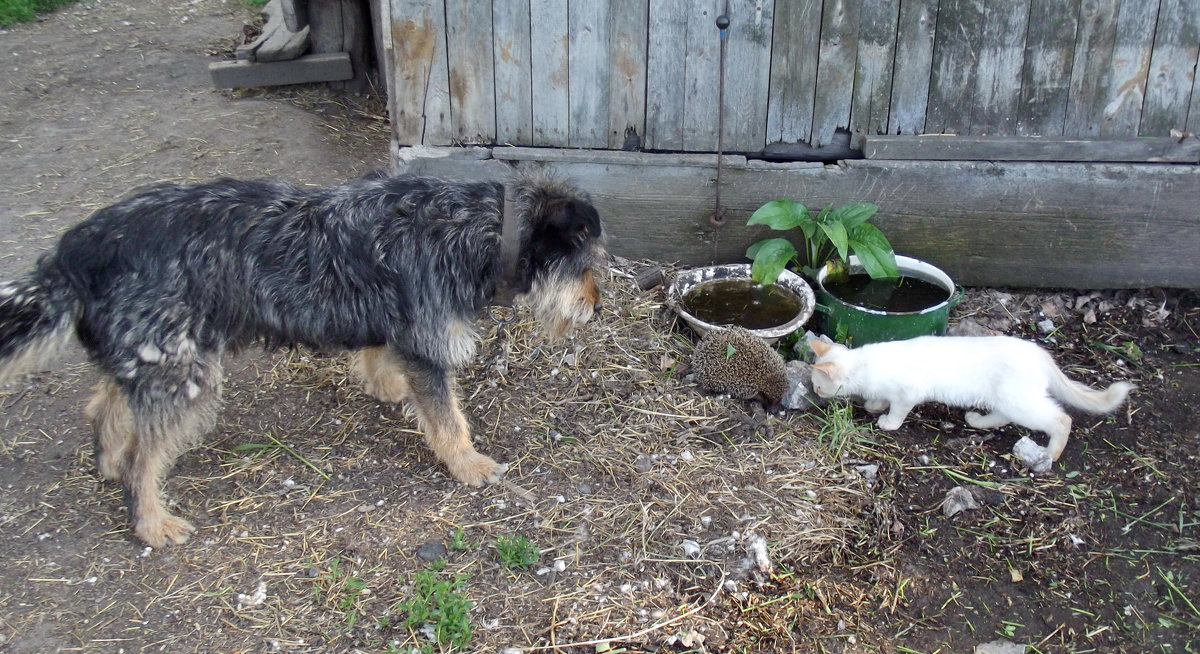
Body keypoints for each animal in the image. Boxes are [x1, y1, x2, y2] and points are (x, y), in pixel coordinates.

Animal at [806, 336, 1132, 463]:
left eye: (818, 387)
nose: (814, 394)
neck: (864, 364)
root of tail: (1040, 353)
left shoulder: (908, 394)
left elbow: (898, 411)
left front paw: (887, 422)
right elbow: (880, 400)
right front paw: (874, 407)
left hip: (1021, 402)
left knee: (1061, 419)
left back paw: (1050, 454)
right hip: (1007, 400)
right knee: (1002, 416)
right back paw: (977, 420)